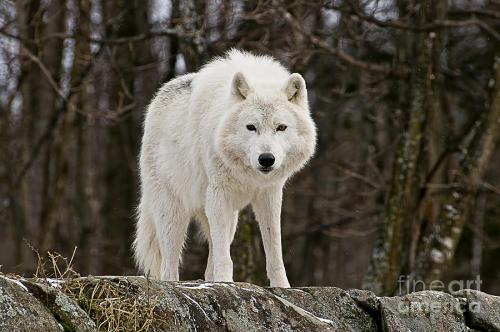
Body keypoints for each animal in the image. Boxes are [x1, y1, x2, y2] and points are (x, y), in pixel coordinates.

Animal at [134, 50, 316, 288]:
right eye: (251, 127)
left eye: (281, 127)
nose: (266, 159)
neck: (250, 176)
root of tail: (160, 94)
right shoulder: (219, 194)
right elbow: (224, 255)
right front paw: (224, 282)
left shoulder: (270, 194)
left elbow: (274, 247)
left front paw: (281, 286)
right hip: (174, 212)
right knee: (169, 264)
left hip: (229, 217)